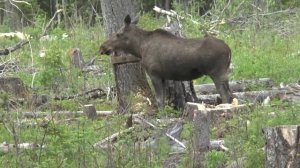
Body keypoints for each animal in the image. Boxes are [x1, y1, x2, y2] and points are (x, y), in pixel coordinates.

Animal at [99, 15, 233, 107]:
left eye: (118, 34)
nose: (102, 47)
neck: (139, 49)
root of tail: (229, 49)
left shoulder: (154, 74)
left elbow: (159, 101)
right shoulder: (162, 77)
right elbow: (163, 100)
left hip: (217, 73)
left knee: (226, 95)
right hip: (224, 73)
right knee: (230, 94)